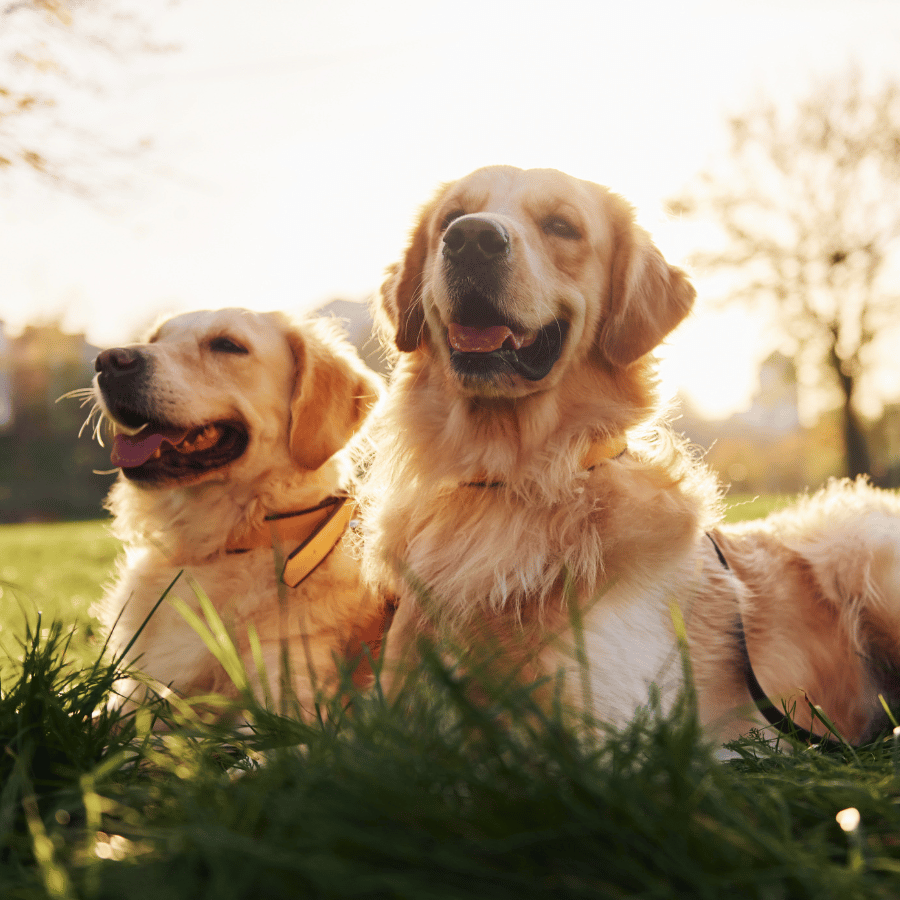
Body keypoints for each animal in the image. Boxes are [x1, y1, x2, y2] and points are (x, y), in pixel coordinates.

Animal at [90, 308, 384, 716]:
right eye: (154, 340)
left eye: (227, 345)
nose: (108, 362)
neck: (226, 546)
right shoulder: (135, 694)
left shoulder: (289, 697)